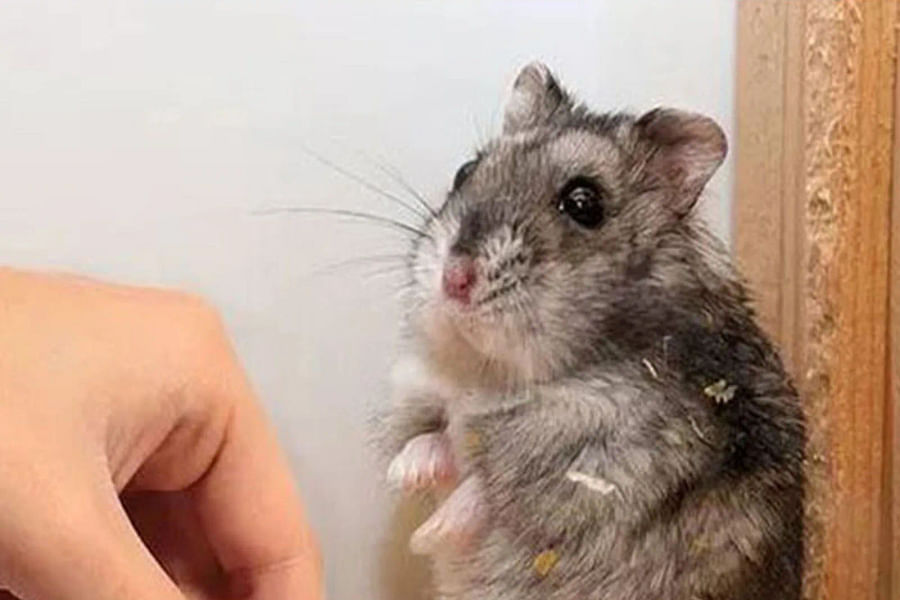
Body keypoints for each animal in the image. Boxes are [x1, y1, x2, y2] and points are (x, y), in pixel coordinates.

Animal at [382, 62, 804, 600]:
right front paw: (404, 476)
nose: (454, 279)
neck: (497, 372)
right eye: (465, 171)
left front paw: (426, 536)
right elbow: (435, 439)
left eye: (584, 204)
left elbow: (492, 493)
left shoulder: (598, 465)